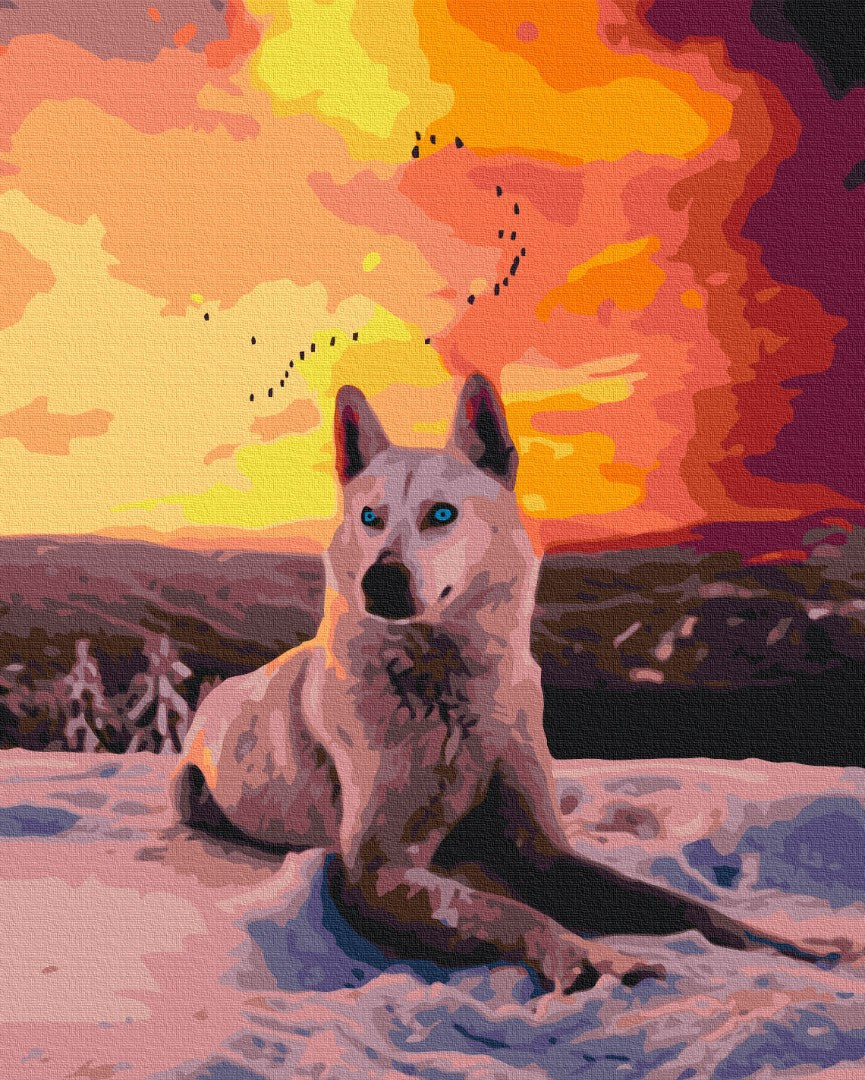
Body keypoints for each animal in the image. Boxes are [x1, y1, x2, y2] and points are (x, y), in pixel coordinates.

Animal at [171, 374, 826, 994]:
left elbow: (681, 905)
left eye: (441, 514)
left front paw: (795, 947)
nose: (378, 582)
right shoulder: (374, 873)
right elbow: (503, 910)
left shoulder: (544, 850)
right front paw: (591, 959)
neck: (448, 695)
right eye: (369, 518)